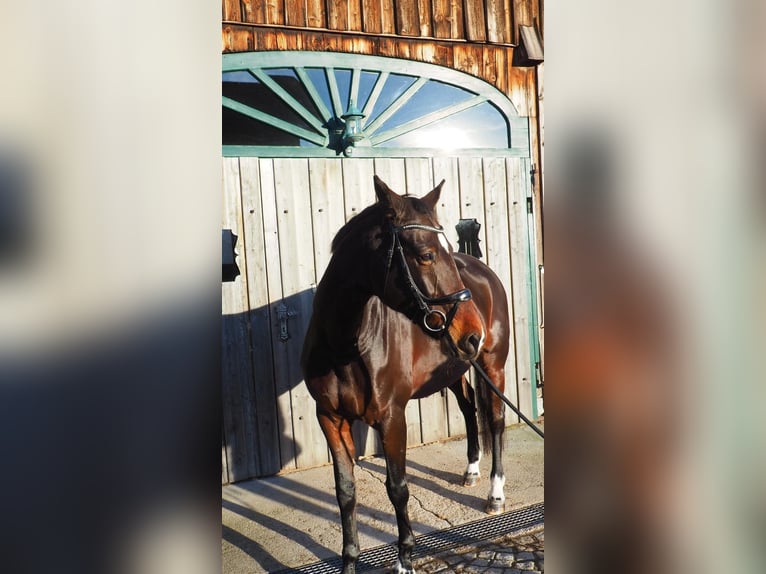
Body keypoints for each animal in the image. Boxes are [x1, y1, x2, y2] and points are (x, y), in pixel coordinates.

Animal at [302, 176, 511, 574]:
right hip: (456, 369)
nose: (473, 334)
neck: (345, 344)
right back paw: (471, 471)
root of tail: (484, 271)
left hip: (493, 366)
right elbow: (345, 492)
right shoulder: (330, 419)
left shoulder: (392, 417)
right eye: (426, 254)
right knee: (468, 409)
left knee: (494, 420)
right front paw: (349, 562)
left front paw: (405, 561)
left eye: (447, 249)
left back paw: (495, 494)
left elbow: (397, 488)